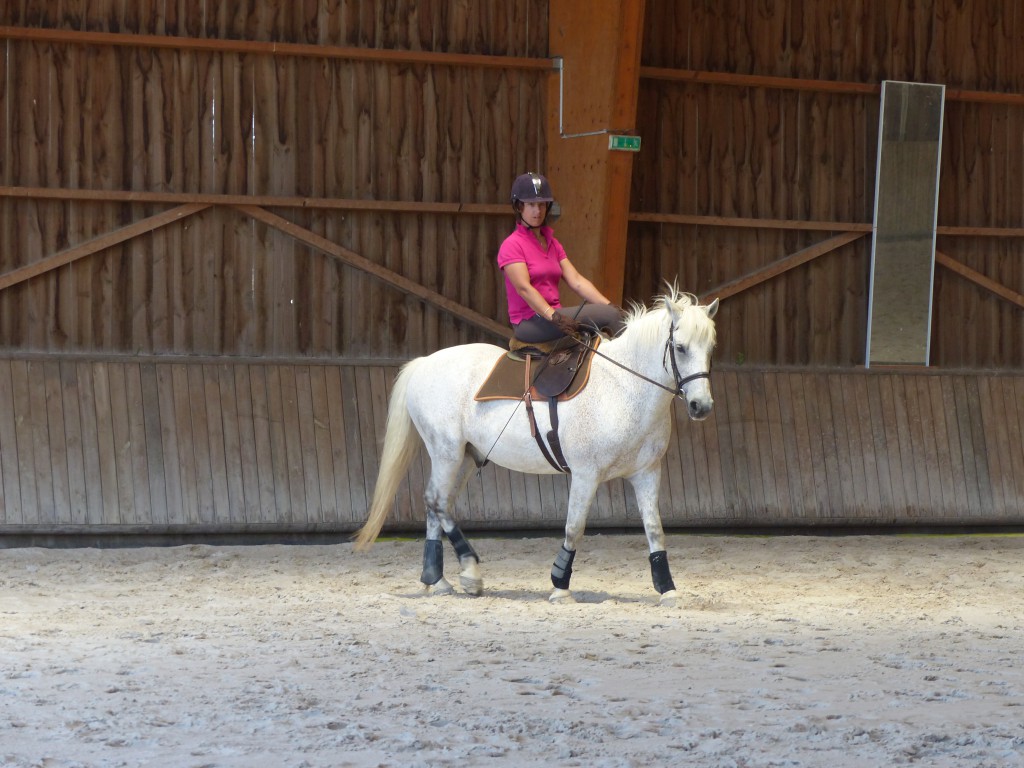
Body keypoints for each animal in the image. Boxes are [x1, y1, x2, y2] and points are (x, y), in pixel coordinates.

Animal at [356, 286, 716, 606]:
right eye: (680, 347)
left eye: (710, 347)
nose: (701, 406)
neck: (624, 386)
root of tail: (424, 362)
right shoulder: (586, 475)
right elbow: (574, 528)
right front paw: (560, 586)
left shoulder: (647, 473)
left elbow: (655, 530)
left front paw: (667, 589)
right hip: (446, 452)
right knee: (437, 502)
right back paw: (468, 571)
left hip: (465, 458)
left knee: (436, 504)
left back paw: (438, 579)